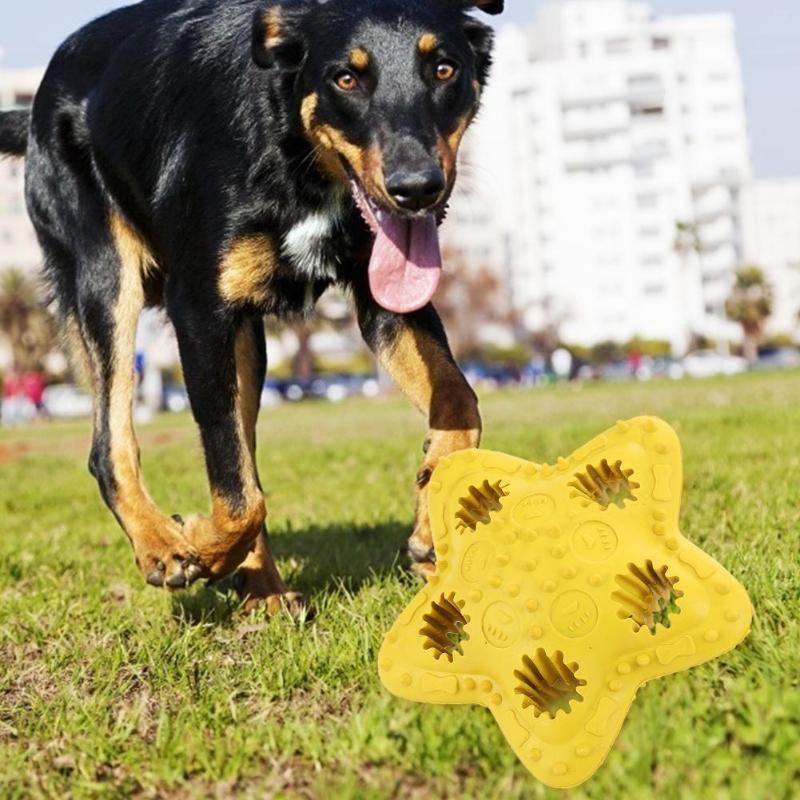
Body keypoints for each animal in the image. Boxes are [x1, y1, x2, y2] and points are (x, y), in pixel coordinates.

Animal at [0, 0, 500, 612]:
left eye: (444, 69)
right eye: (346, 78)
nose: (417, 189)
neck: (292, 147)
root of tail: (37, 100)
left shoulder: (384, 301)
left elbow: (460, 400)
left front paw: (430, 520)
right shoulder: (197, 310)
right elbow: (237, 492)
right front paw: (198, 544)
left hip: (245, 342)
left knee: (243, 453)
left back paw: (263, 590)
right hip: (106, 279)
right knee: (112, 444)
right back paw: (162, 545)